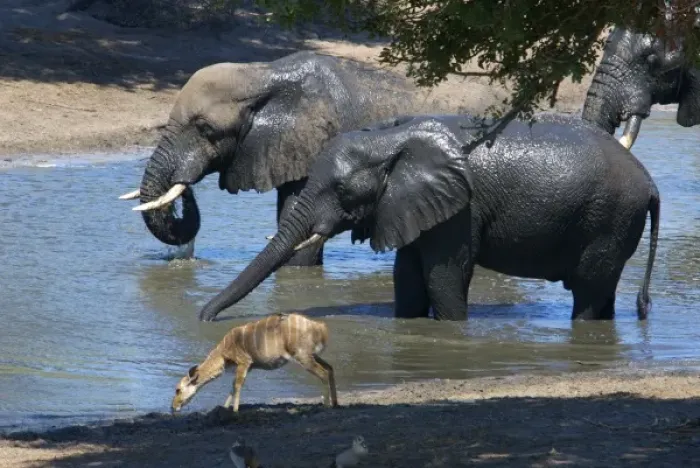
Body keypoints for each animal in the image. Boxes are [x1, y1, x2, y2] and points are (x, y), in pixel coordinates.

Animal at [196, 113, 660, 323]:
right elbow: (408, 278)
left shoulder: (461, 209)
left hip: (610, 218)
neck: (390, 138)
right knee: (602, 293)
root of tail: (651, 184)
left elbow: (443, 280)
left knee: (588, 292)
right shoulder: (409, 206)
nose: (205, 318)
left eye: (342, 192)